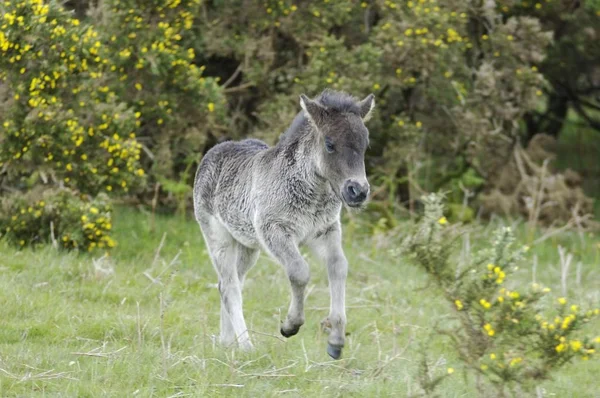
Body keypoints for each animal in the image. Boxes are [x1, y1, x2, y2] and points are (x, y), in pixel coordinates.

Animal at [193, 90, 376, 360]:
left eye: (365, 145)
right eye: (330, 144)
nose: (358, 191)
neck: (313, 194)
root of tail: (214, 151)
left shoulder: (325, 231)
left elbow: (338, 267)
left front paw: (336, 341)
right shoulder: (274, 229)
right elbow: (299, 271)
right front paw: (290, 325)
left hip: (247, 245)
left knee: (227, 284)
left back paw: (227, 343)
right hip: (219, 237)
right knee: (230, 287)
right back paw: (246, 346)